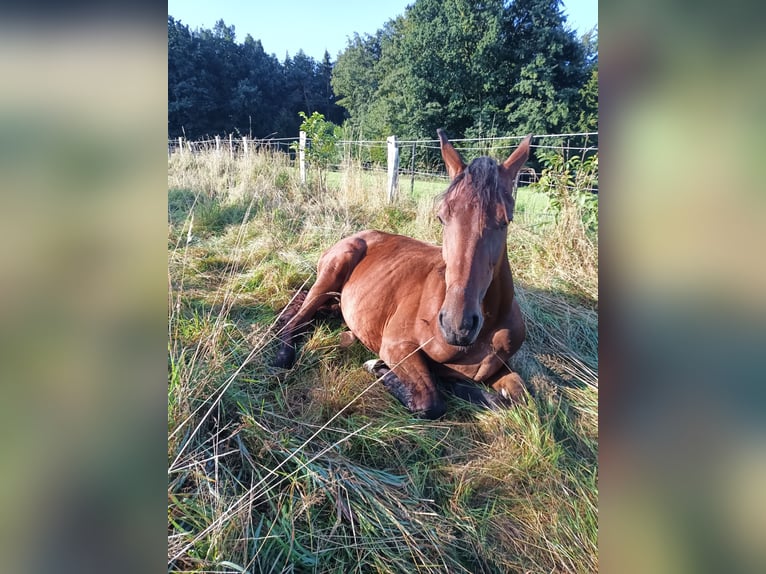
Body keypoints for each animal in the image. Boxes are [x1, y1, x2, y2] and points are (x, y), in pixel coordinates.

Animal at [276, 129, 536, 418]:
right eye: (441, 217)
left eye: (505, 220)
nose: (458, 326)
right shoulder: (397, 346)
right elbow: (430, 401)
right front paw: (379, 367)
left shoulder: (501, 368)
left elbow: (520, 398)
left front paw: (457, 385)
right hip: (332, 272)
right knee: (297, 317)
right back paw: (284, 354)